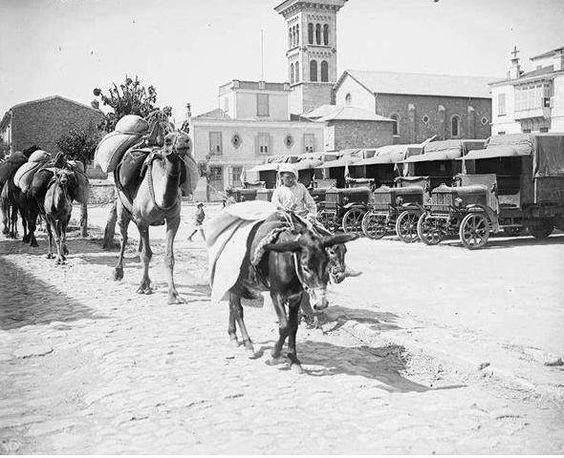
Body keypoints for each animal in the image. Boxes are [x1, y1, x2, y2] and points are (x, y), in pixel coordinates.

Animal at [113, 125, 192, 304]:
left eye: (186, 135)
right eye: (168, 140)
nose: (185, 142)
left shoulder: (173, 219)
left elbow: (168, 257)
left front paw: (174, 295)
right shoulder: (142, 220)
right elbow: (146, 254)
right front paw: (142, 287)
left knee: (140, 245)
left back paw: (150, 282)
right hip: (122, 209)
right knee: (124, 237)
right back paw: (118, 272)